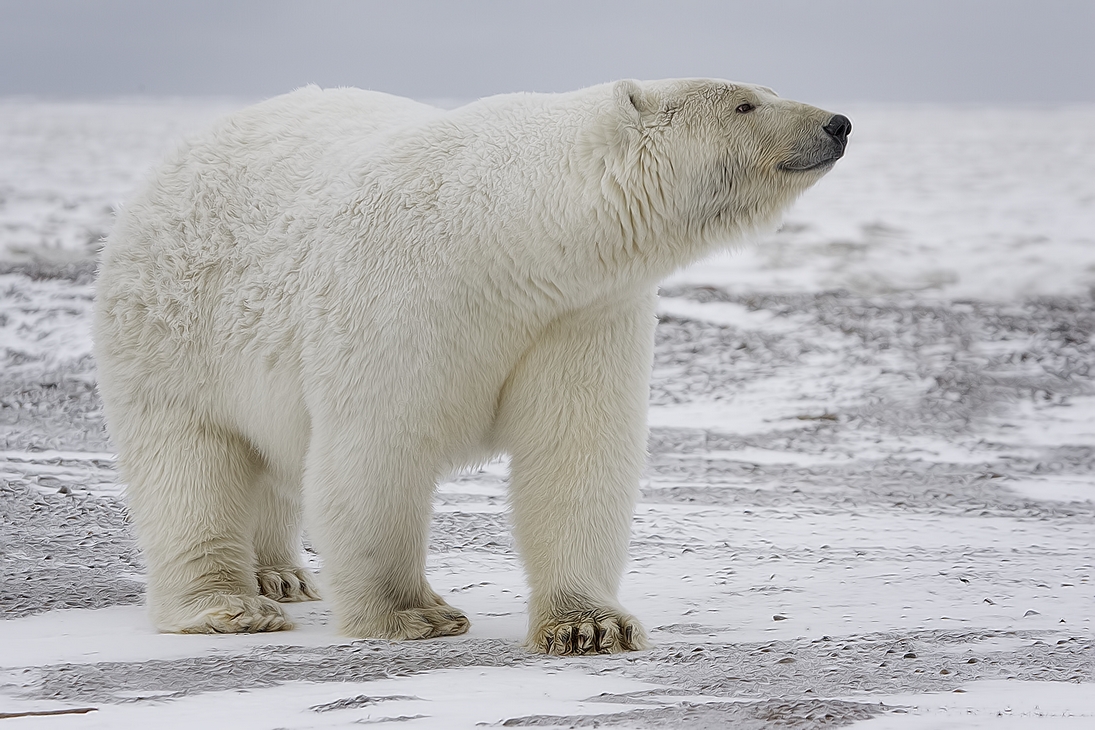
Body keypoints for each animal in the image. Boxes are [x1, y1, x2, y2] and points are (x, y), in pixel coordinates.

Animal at [94, 79, 845, 656]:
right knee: (190, 467)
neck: (507, 238)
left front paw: (587, 625)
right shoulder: (403, 291)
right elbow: (376, 448)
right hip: (176, 331)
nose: (837, 123)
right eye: (745, 103)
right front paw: (413, 614)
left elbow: (576, 450)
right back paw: (230, 605)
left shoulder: (579, 314)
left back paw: (281, 576)